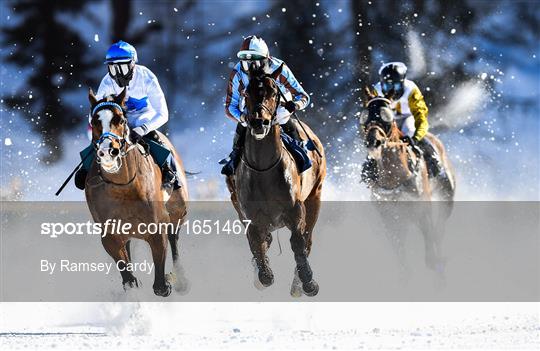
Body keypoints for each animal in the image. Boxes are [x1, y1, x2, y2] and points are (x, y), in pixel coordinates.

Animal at [83, 88, 188, 296]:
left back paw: (180, 278)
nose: (108, 150)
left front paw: (167, 281)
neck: (123, 187)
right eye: (95, 121)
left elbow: (160, 286)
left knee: (174, 236)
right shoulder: (110, 235)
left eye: (121, 120)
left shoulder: (157, 226)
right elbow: (129, 279)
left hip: (178, 208)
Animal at [226, 68, 326, 296]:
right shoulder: (250, 216)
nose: (258, 122)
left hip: (315, 196)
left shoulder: (296, 209)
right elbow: (257, 246)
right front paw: (262, 274)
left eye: (274, 92)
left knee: (308, 238)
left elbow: (298, 242)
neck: (263, 169)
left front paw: (307, 281)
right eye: (246, 93)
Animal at [360, 97, 454, 282]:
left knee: (439, 230)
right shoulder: (391, 221)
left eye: (386, 116)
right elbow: (404, 266)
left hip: (447, 196)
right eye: (364, 117)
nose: (373, 141)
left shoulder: (422, 210)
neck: (395, 180)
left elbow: (431, 256)